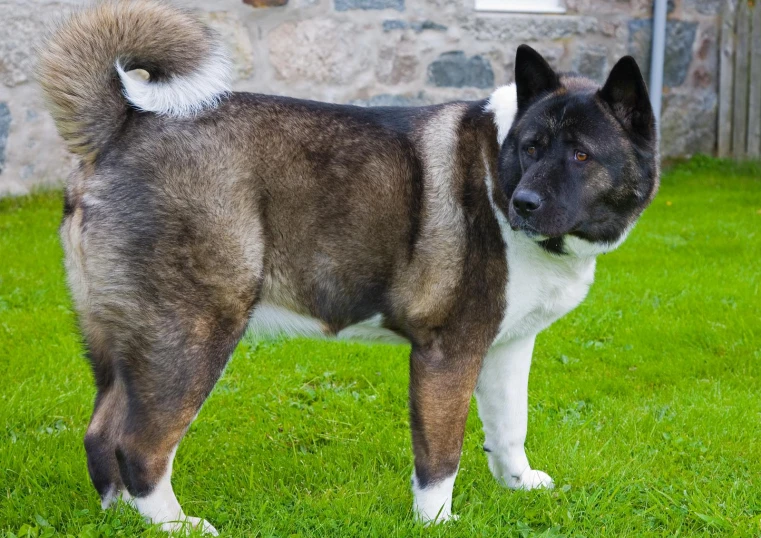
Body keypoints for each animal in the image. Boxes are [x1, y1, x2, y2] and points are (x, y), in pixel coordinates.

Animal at [40, 1, 660, 532]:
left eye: (580, 154)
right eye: (531, 148)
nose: (524, 203)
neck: (496, 165)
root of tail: (121, 126)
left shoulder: (507, 347)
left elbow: (510, 426)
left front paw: (519, 483)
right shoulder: (448, 351)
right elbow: (442, 453)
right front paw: (437, 521)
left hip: (127, 348)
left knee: (101, 434)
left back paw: (120, 516)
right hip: (191, 335)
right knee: (139, 446)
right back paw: (175, 524)